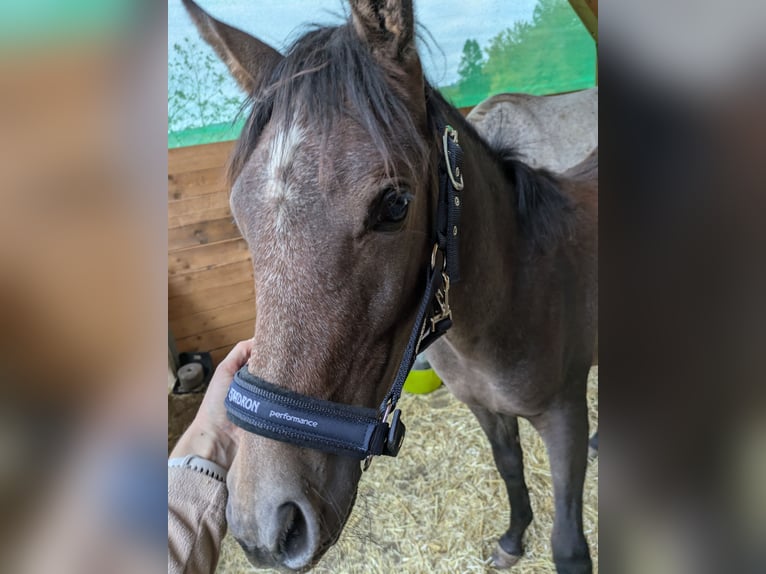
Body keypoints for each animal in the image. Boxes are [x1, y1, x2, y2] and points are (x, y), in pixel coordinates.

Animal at [182, 1, 598, 572]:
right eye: (239, 218)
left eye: (395, 205)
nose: (266, 524)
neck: (514, 300)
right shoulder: (487, 411)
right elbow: (510, 468)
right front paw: (513, 539)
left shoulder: (564, 416)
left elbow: (569, 547)